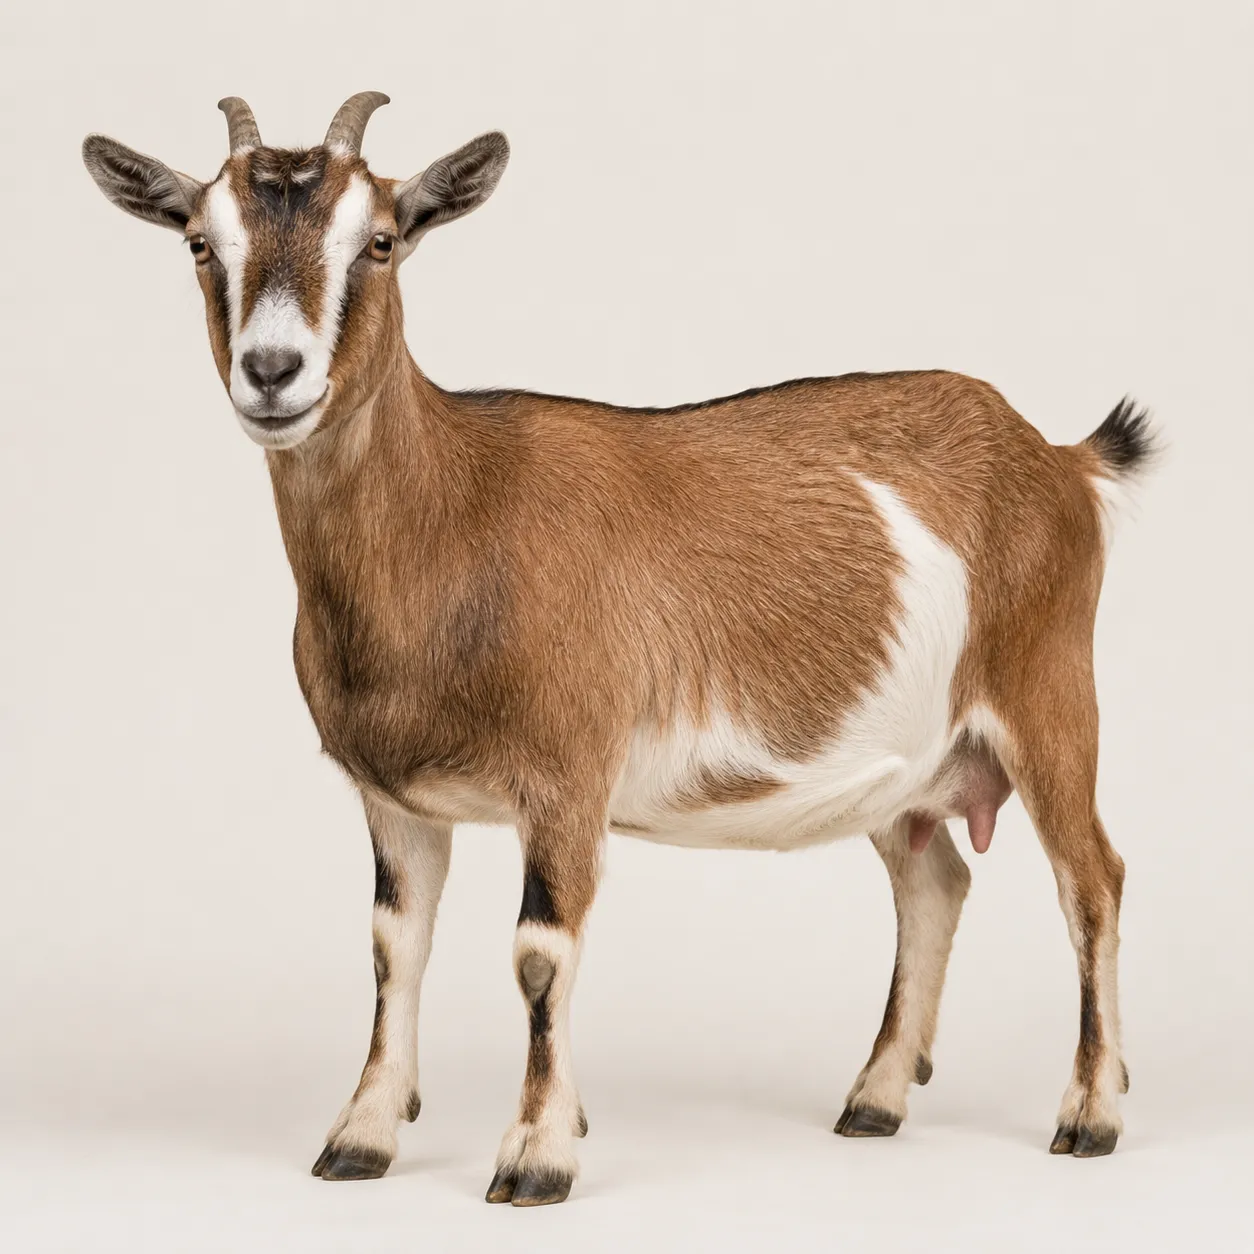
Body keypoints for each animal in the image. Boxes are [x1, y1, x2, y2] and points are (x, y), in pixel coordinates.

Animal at [82, 92, 1154, 1206]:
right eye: (200, 242)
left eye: (379, 241)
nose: (272, 373)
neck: (456, 516)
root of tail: (1059, 459)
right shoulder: (394, 798)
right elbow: (393, 949)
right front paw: (363, 1137)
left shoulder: (566, 775)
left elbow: (539, 954)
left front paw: (537, 1155)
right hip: (914, 764)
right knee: (933, 882)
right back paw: (877, 1097)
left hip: (1047, 690)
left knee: (1093, 879)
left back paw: (1090, 1113)